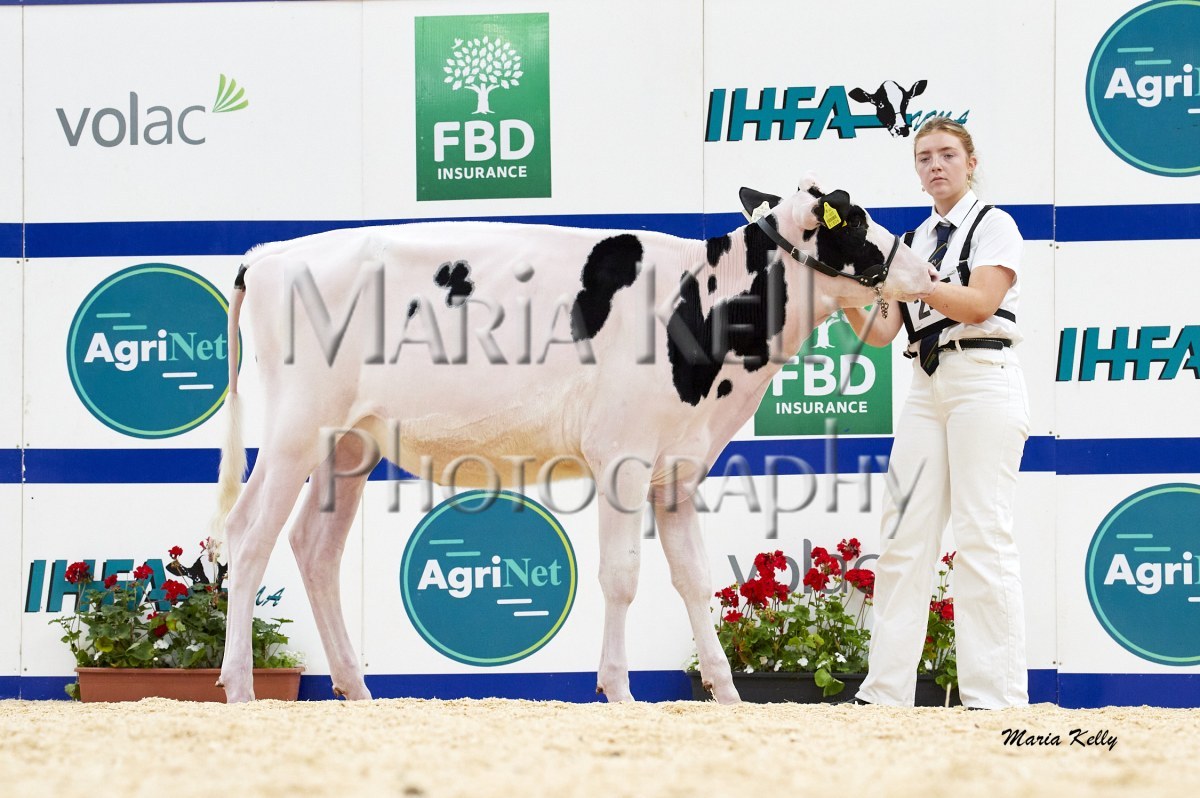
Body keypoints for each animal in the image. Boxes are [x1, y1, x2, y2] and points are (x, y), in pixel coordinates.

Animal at [211, 176, 938, 705]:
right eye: (858, 223)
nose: (930, 273)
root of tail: (268, 255)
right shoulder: (623, 456)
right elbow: (621, 577)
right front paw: (618, 692)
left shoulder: (677, 471)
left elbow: (695, 578)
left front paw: (728, 696)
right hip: (295, 430)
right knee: (248, 538)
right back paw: (241, 690)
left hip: (349, 444)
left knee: (314, 547)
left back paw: (357, 691)